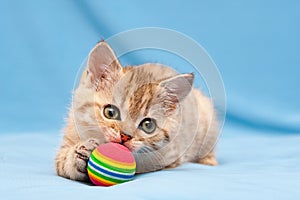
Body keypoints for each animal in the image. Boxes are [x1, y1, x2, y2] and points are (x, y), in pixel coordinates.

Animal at [55, 41, 218, 182]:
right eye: (110, 112)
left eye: (148, 125)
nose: (125, 136)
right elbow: (62, 162)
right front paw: (79, 154)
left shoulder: (169, 155)